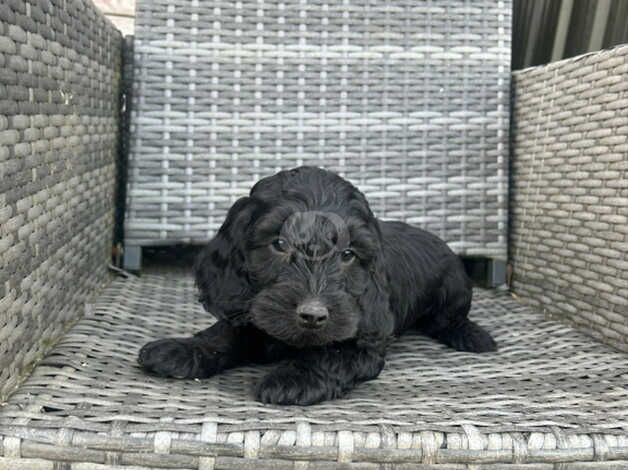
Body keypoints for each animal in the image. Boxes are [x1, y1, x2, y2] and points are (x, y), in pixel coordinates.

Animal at [139, 166, 496, 404]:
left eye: (348, 254)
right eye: (280, 243)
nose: (312, 316)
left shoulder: (362, 338)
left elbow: (332, 353)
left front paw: (296, 377)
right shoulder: (252, 311)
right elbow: (227, 331)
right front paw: (183, 348)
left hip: (454, 286)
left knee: (449, 318)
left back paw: (469, 335)